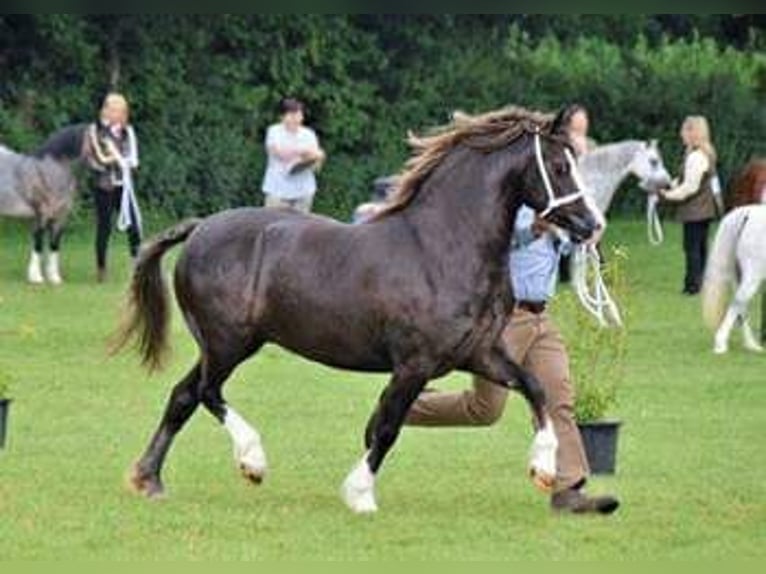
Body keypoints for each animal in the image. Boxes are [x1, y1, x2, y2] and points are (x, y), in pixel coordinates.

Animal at [0, 124, 88, 284]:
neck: (47, 171)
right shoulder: (41, 215)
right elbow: (38, 244)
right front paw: (36, 277)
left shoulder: (60, 218)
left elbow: (54, 245)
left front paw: (54, 278)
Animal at [114, 106, 599, 514]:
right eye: (559, 167)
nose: (591, 225)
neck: (445, 247)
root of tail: (200, 229)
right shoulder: (414, 364)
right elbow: (387, 427)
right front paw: (360, 494)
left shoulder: (478, 353)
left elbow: (536, 387)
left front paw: (545, 470)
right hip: (229, 343)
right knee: (208, 392)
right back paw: (252, 461)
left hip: (221, 346)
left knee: (184, 395)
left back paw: (148, 479)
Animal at [702, 204, 766, 354]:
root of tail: (749, 213)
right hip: (752, 276)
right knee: (737, 303)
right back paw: (721, 344)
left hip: (738, 276)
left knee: (741, 307)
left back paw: (751, 345)